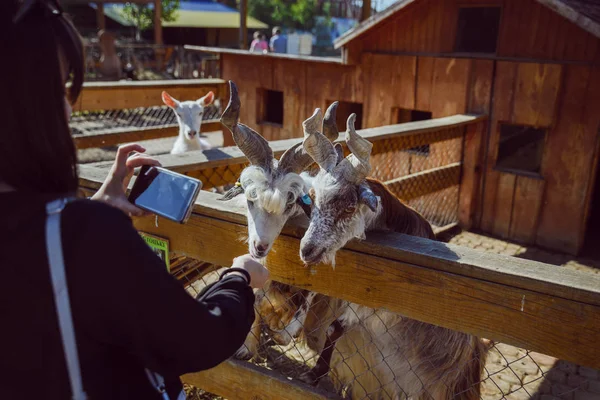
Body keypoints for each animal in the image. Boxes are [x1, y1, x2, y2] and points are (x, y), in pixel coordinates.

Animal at [296, 111, 488, 400]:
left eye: (350, 205)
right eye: (312, 198)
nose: (307, 250)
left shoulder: (377, 307)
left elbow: (336, 327)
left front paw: (314, 373)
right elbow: (332, 326)